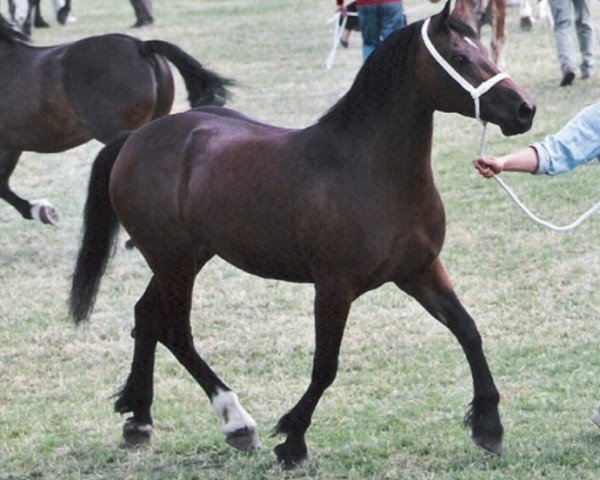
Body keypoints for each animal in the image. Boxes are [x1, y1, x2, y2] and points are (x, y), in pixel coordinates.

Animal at [69, 1, 536, 468]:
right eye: (460, 58)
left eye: (484, 49)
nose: (524, 109)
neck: (371, 170)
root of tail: (135, 138)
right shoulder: (334, 287)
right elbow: (325, 366)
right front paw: (292, 439)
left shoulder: (419, 270)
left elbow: (468, 330)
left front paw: (489, 425)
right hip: (174, 262)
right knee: (176, 331)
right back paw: (237, 423)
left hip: (185, 258)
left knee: (147, 317)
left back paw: (139, 419)